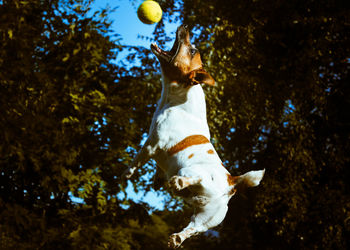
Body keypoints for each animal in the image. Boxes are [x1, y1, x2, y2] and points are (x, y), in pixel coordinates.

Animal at [124, 24, 264, 248]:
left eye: (191, 51)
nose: (185, 27)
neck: (178, 98)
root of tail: (231, 182)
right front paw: (156, 179)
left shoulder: (153, 142)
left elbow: (137, 159)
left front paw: (127, 173)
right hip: (206, 218)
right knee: (192, 228)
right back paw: (177, 236)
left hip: (192, 171)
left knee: (197, 177)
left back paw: (180, 182)